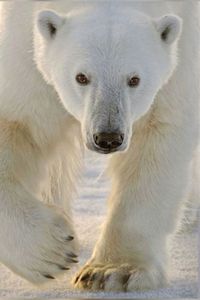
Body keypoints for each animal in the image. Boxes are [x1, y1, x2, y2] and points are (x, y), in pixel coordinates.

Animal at [0, 0, 198, 290]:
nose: (108, 137)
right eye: (81, 77)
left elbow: (158, 135)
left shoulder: (185, 49)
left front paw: (113, 271)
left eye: (134, 79)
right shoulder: (20, 38)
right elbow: (19, 121)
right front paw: (51, 250)